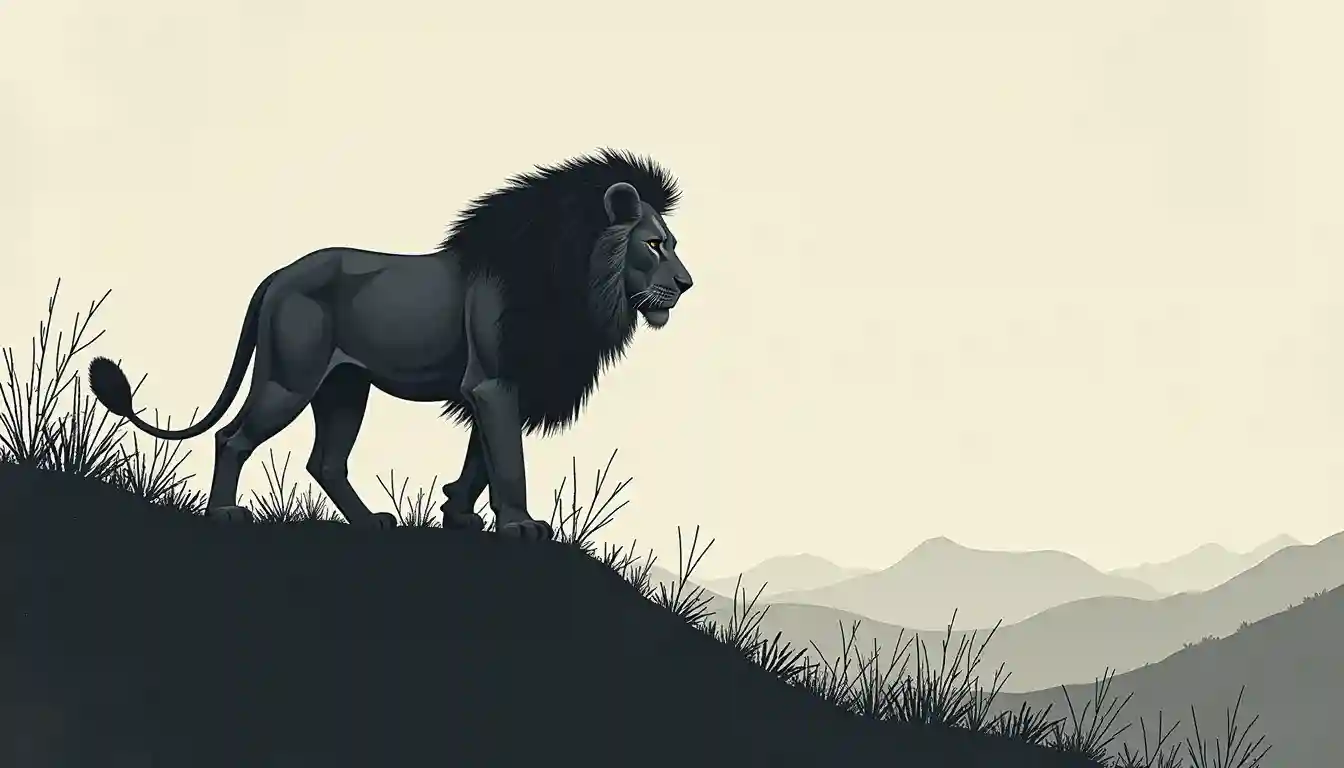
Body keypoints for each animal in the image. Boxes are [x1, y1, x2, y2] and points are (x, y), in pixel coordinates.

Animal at [88, 149, 693, 541]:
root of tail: (279, 275)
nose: (687, 284)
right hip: (290, 380)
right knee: (232, 438)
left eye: (671, 243)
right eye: (654, 246)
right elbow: (508, 462)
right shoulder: (495, 382)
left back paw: (370, 521)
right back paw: (224, 513)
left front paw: (458, 512)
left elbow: (481, 457)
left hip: (344, 389)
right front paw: (520, 525)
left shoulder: (503, 386)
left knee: (326, 462)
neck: (578, 280)